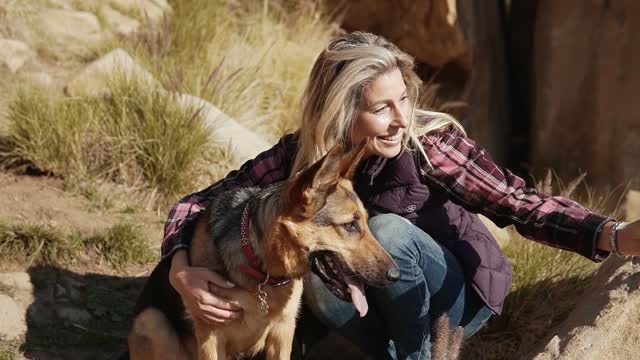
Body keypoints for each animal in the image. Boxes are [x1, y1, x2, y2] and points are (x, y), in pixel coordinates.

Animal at [122, 143, 398, 360]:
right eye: (350, 225)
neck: (262, 270)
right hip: (152, 323)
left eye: (366, 221)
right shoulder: (211, 337)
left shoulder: (283, 333)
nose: (396, 276)